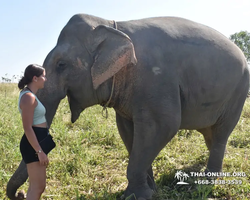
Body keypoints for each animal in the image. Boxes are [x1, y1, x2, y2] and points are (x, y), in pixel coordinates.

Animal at [6, 13, 249, 199]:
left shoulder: (156, 79)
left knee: (221, 133)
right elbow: (127, 129)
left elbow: (163, 126)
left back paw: (207, 182)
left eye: (61, 65)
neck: (111, 25)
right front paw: (149, 190)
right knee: (210, 134)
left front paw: (136, 195)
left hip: (238, 92)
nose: (19, 194)